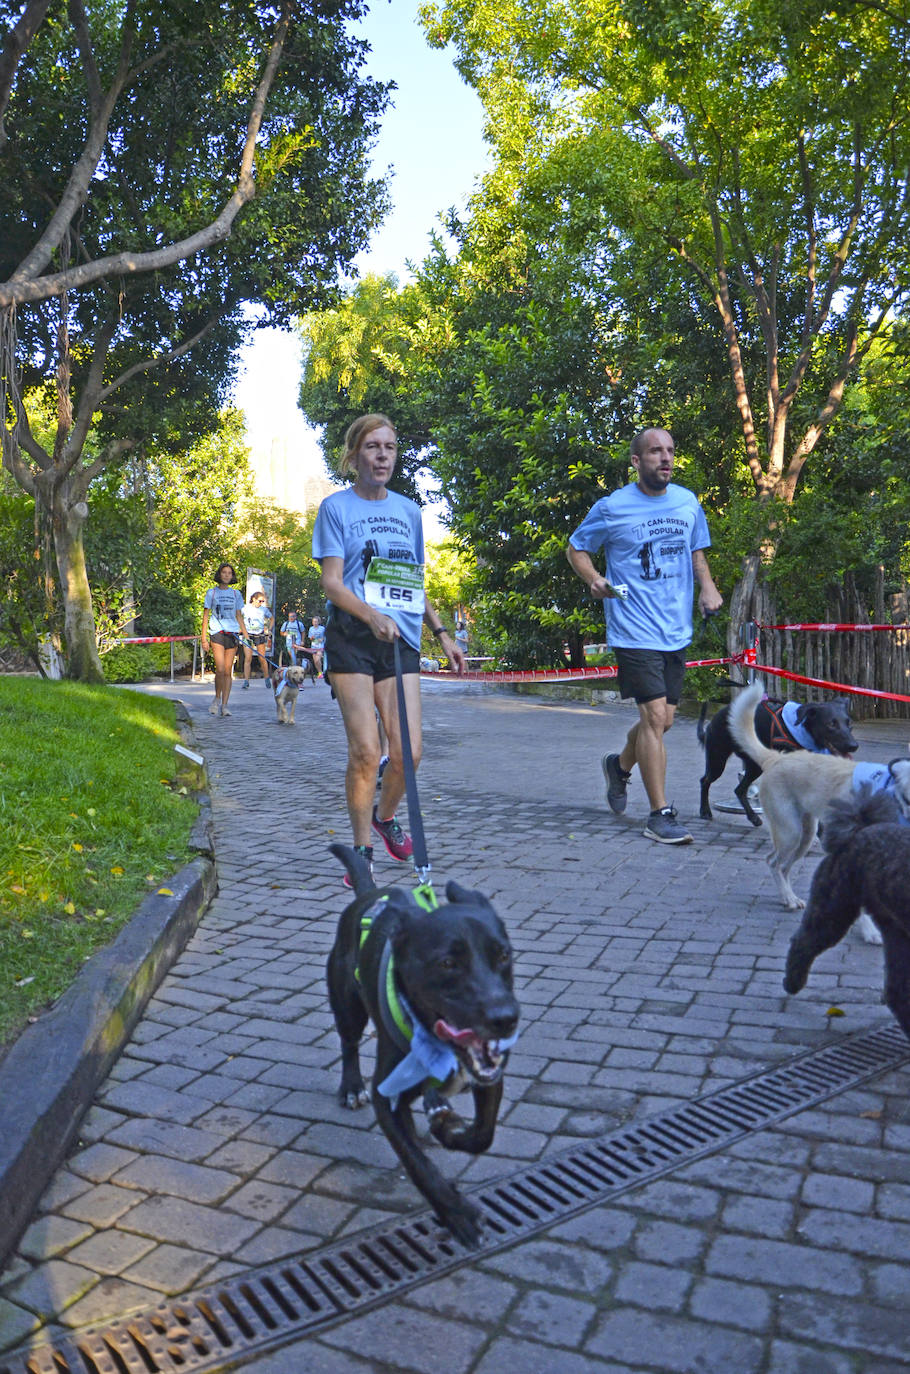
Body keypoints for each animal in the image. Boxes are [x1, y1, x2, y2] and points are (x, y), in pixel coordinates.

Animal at [325, 840, 519, 1253]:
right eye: (447, 963)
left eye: (503, 955)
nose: (506, 1018)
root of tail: (368, 895)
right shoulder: (388, 1097)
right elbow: (418, 1166)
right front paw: (459, 1215)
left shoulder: (489, 1075)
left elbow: (483, 1135)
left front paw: (449, 1130)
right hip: (347, 1005)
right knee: (348, 1043)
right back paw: (351, 1086)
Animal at [701, 692, 857, 818]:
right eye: (831, 724)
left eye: (849, 724)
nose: (854, 745)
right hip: (718, 760)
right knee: (705, 781)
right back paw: (705, 811)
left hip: (754, 765)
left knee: (739, 790)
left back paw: (753, 817)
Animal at [786, 785, 910, 1038]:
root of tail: (858, 830)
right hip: (833, 911)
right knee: (802, 943)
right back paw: (793, 982)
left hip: (895, 930)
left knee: (897, 990)